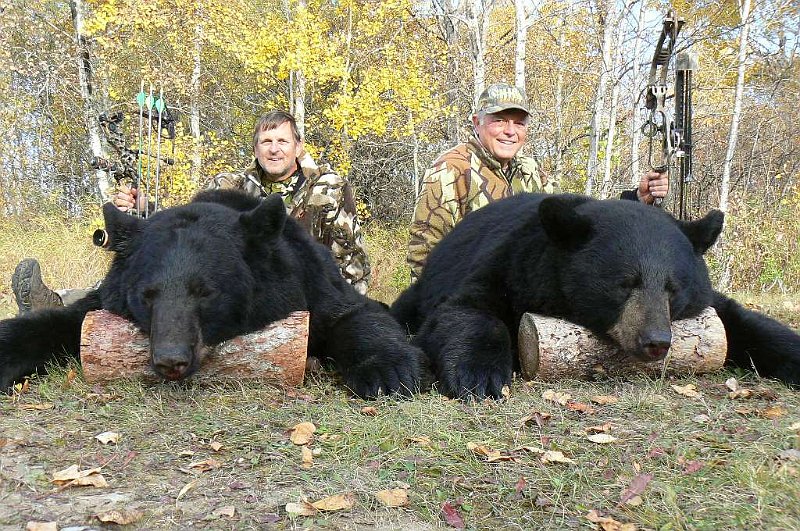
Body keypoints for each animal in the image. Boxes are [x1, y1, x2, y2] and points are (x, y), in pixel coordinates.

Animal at [0, 189, 421, 398]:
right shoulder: (104, 301)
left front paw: (390, 372)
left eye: (205, 292)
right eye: (147, 294)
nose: (171, 360)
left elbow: (356, 314)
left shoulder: (310, 280)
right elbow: (61, 322)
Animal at [391, 193, 800, 399]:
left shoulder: (707, 301)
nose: (656, 341)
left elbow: (743, 321)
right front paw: (478, 375)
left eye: (672, 288)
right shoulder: (510, 263)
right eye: (625, 283)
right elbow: (465, 309)